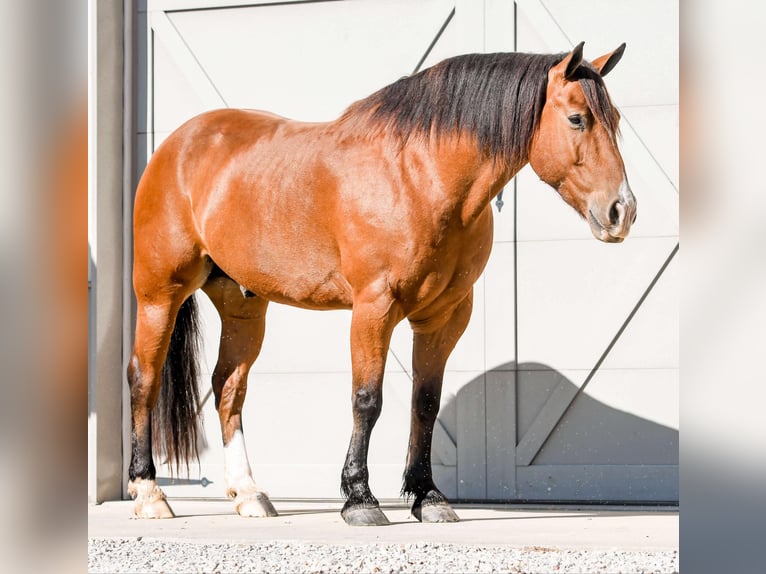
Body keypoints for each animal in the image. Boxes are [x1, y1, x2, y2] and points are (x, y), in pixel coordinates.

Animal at [129, 40, 640, 528]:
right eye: (577, 118)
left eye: (614, 119)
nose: (623, 211)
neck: (420, 175)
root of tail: (177, 145)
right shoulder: (374, 307)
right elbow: (367, 400)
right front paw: (360, 499)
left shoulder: (444, 317)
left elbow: (425, 403)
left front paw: (427, 496)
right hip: (159, 295)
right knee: (144, 379)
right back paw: (149, 493)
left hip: (243, 304)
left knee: (229, 387)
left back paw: (249, 494)